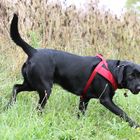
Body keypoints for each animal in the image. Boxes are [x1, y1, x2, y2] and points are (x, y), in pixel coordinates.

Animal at [7, 13, 140, 128]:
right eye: (131, 75)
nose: (139, 88)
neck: (112, 70)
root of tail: (34, 51)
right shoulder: (105, 100)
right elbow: (123, 113)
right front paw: (135, 126)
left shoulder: (84, 98)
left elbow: (81, 114)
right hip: (45, 89)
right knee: (38, 107)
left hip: (31, 84)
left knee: (16, 87)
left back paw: (10, 105)